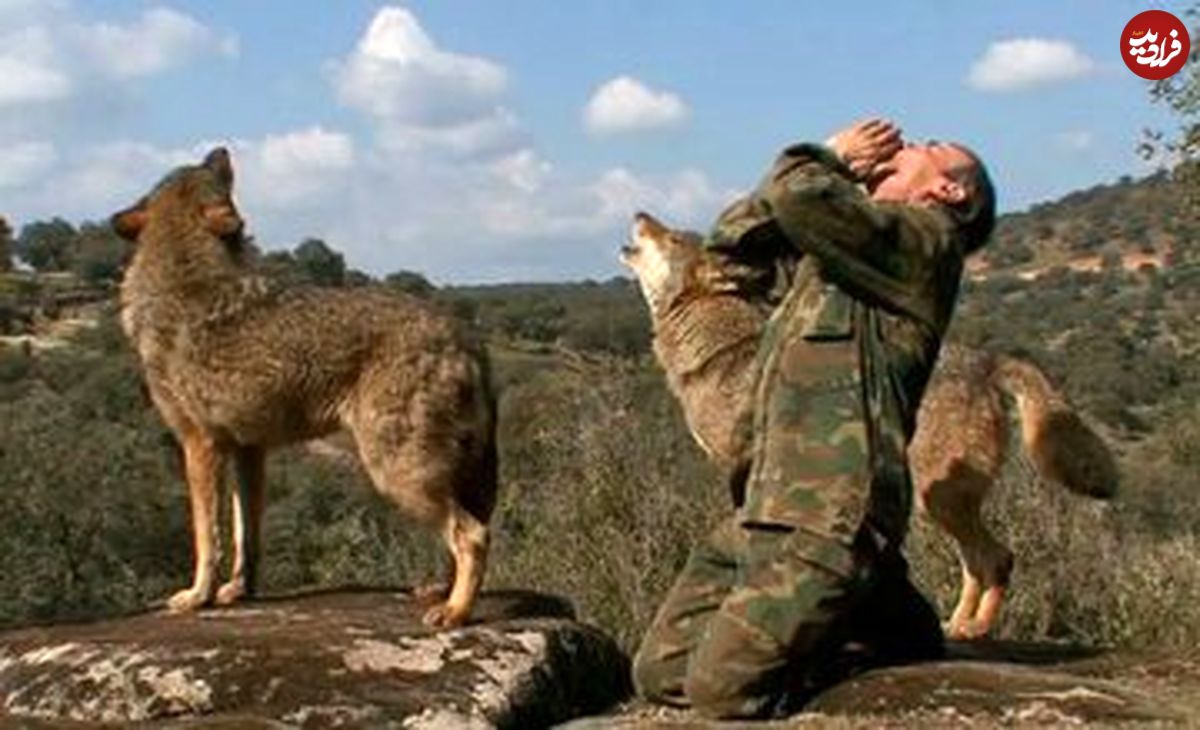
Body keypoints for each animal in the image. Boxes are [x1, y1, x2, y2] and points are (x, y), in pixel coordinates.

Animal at [113, 149, 496, 629]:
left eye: (210, 168)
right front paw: (238, 591)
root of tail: (465, 335)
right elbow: (245, 534)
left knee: (473, 535)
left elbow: (207, 538)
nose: (221, 148)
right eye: (197, 167)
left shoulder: (199, 446)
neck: (182, 282)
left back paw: (456, 611)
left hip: (398, 474)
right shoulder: (248, 450)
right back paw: (439, 593)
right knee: (465, 532)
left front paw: (198, 596)